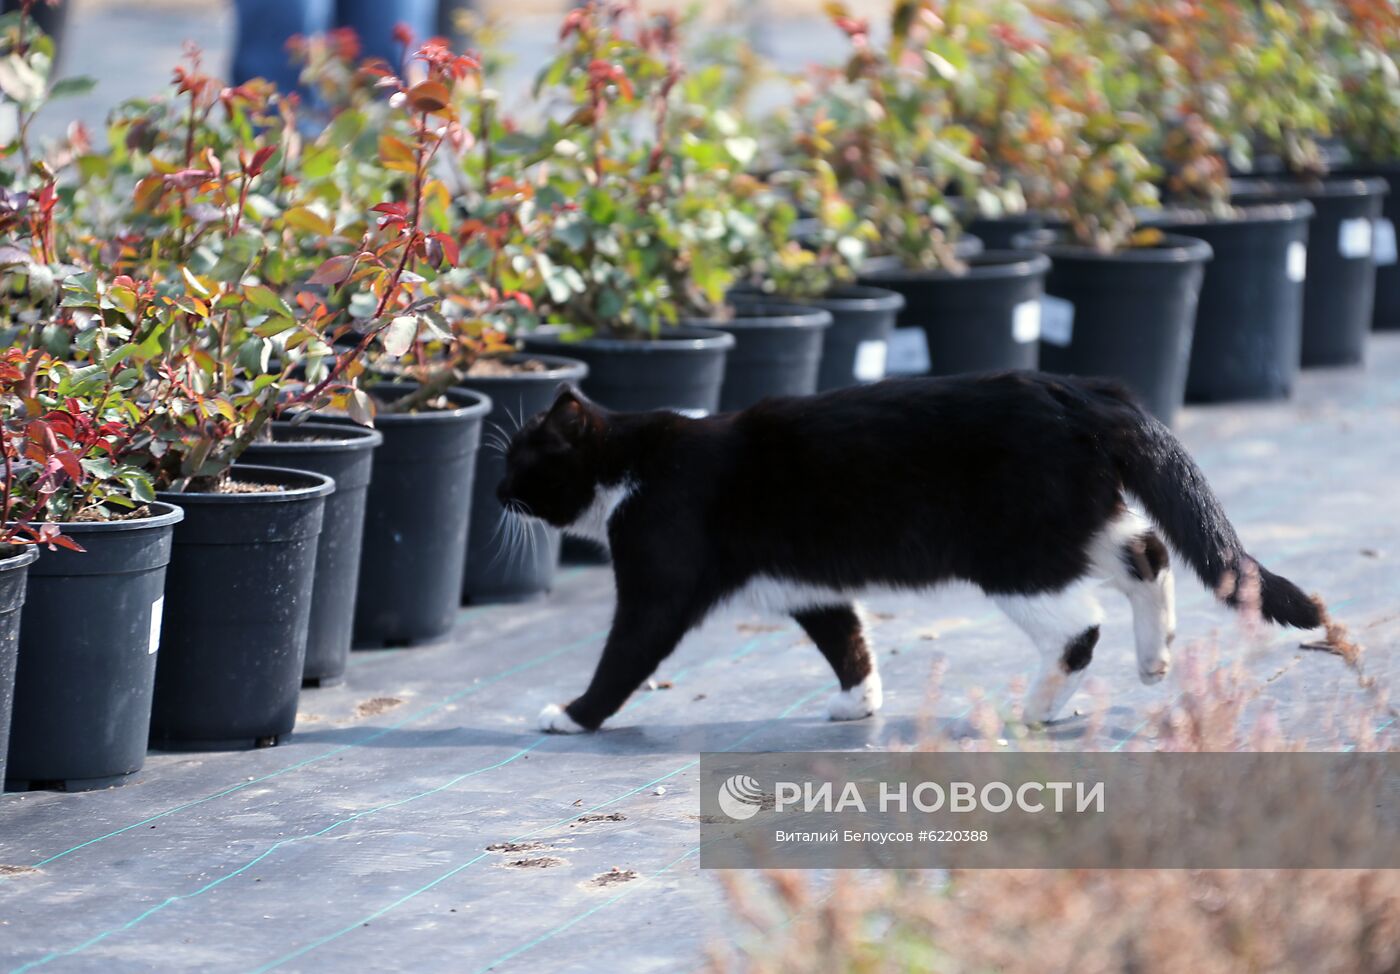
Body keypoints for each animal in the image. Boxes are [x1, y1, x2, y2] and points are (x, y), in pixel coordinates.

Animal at [501, 372, 1321, 727]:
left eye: (518, 459)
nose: (496, 491)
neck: (634, 462)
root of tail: (1081, 391)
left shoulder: (658, 577)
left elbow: (627, 652)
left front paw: (573, 714)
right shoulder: (809, 586)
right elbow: (845, 637)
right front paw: (859, 703)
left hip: (1012, 550)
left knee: (1080, 626)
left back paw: (1037, 708)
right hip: (1072, 523)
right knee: (1148, 551)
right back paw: (1154, 658)